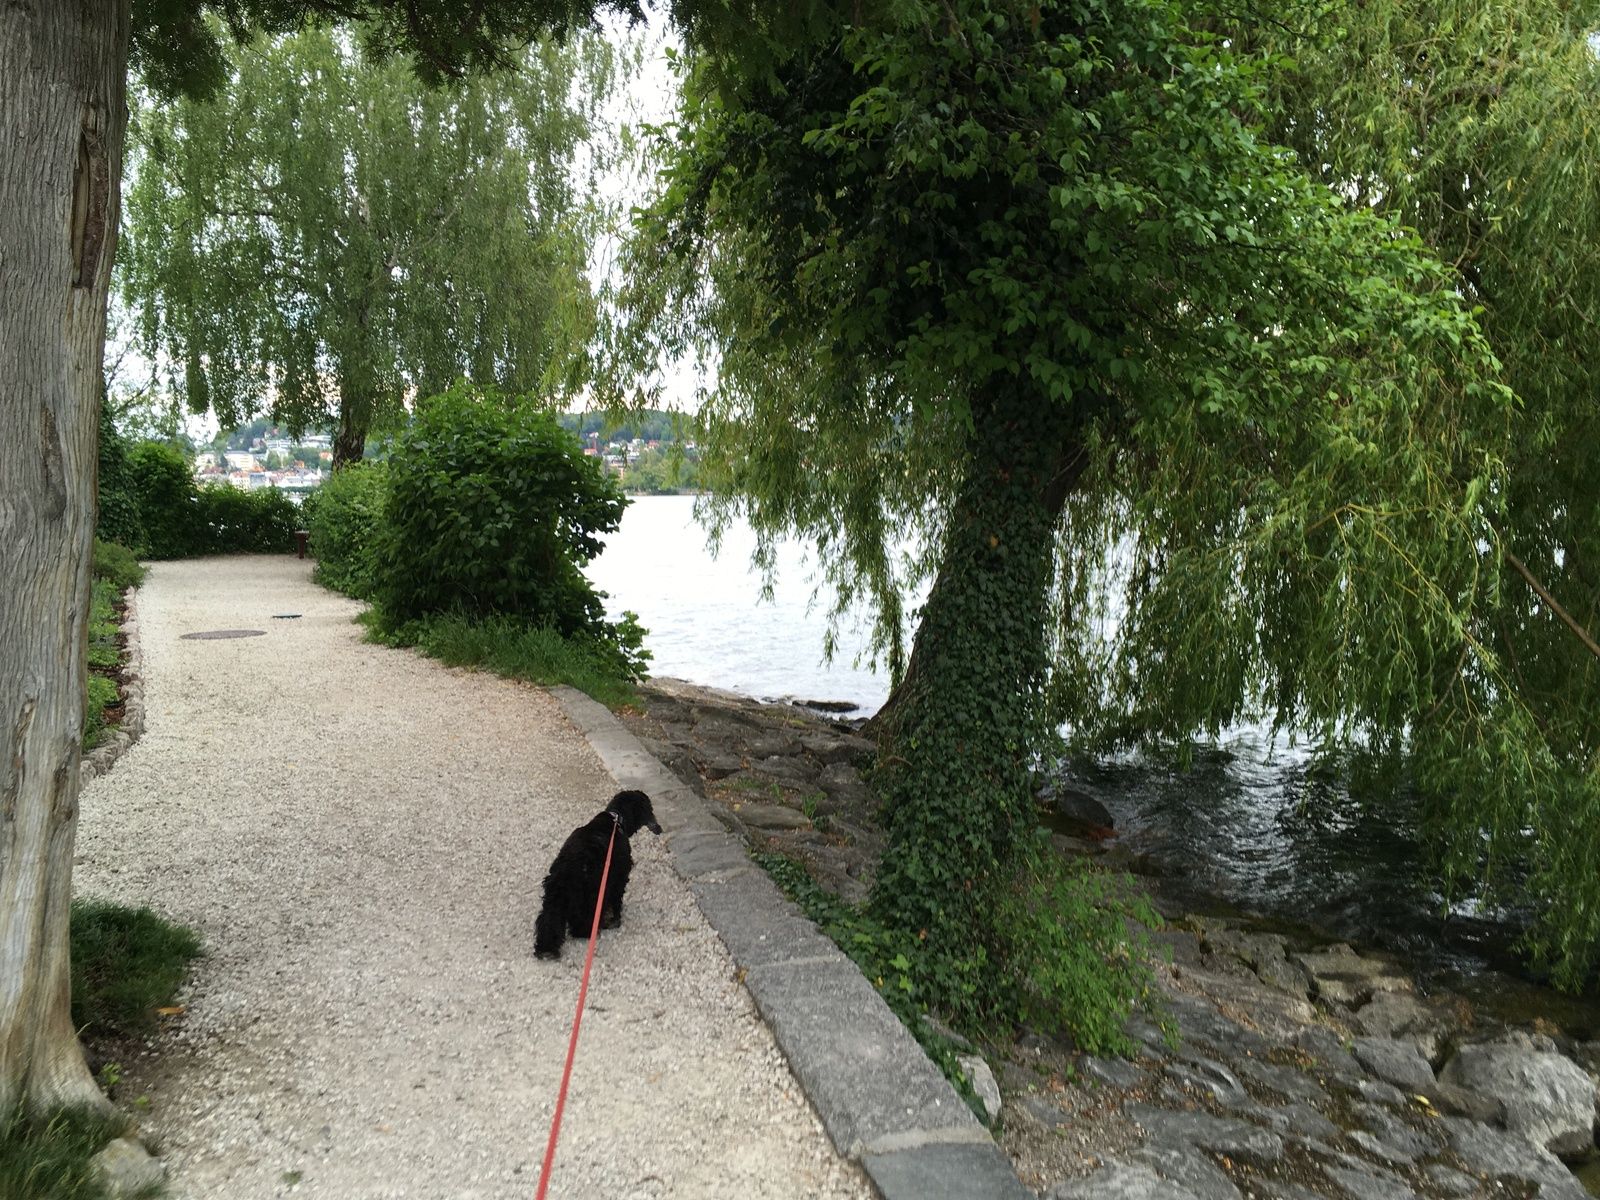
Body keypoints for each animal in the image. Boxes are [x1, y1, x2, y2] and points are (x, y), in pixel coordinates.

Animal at [534, 789, 662, 960]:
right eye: (649, 809)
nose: (658, 827)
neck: (616, 819)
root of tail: (568, 866)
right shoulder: (618, 877)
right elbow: (616, 901)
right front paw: (615, 920)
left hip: (555, 894)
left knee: (548, 920)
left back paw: (546, 948)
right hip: (591, 892)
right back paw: (589, 931)